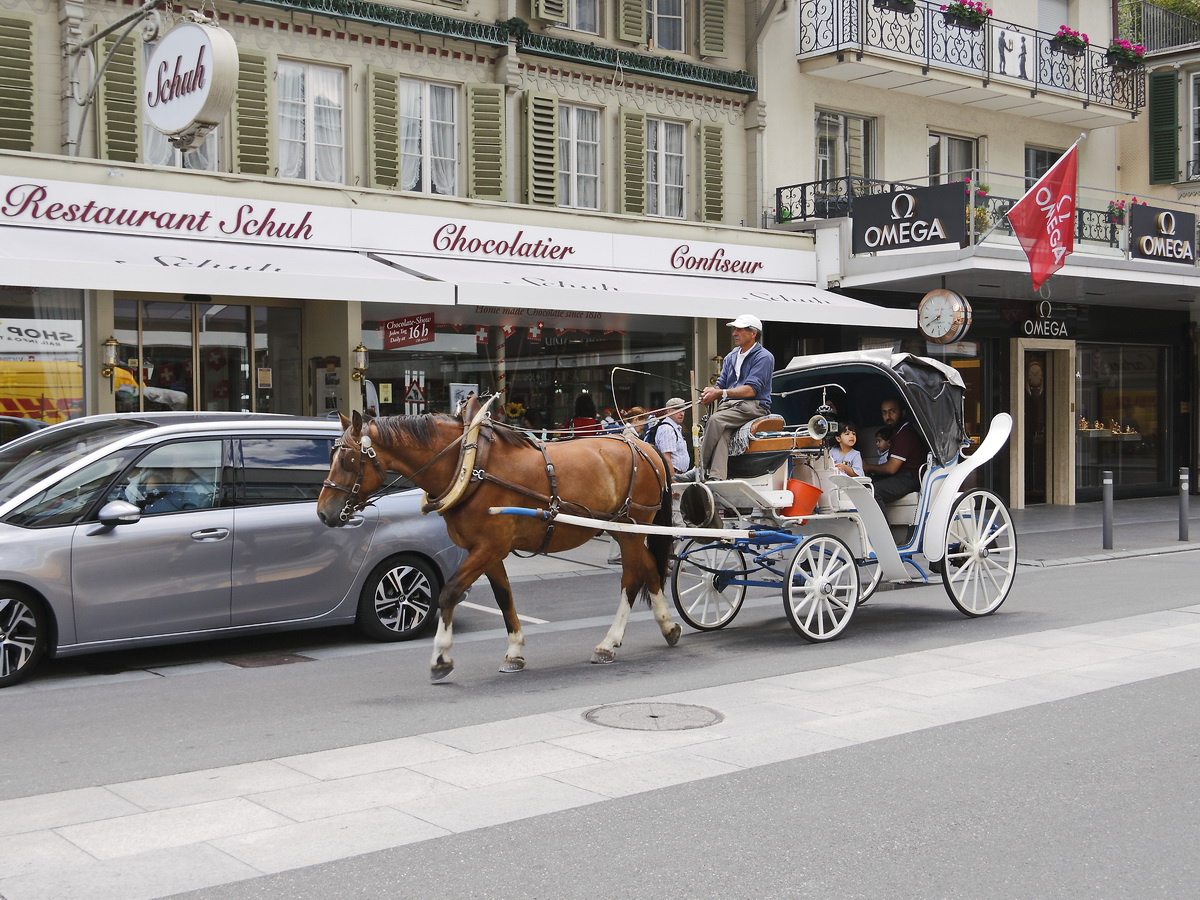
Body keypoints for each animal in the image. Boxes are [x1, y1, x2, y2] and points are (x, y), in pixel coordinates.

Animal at [314, 398, 681, 681]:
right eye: (332, 456)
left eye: (347, 460)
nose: (323, 513)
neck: (469, 464)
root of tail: (645, 446)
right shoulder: (487, 551)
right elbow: (504, 598)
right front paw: (514, 652)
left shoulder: (489, 546)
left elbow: (448, 592)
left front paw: (440, 657)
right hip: (625, 529)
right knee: (650, 569)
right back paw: (668, 626)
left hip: (631, 527)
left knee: (631, 579)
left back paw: (609, 643)